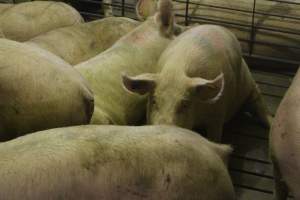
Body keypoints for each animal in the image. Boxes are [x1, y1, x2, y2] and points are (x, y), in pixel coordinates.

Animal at [123, 24, 274, 141]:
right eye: (154, 101)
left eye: (185, 104)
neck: (176, 71)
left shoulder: (217, 115)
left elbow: (215, 137)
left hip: (248, 82)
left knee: (259, 102)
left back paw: (271, 123)